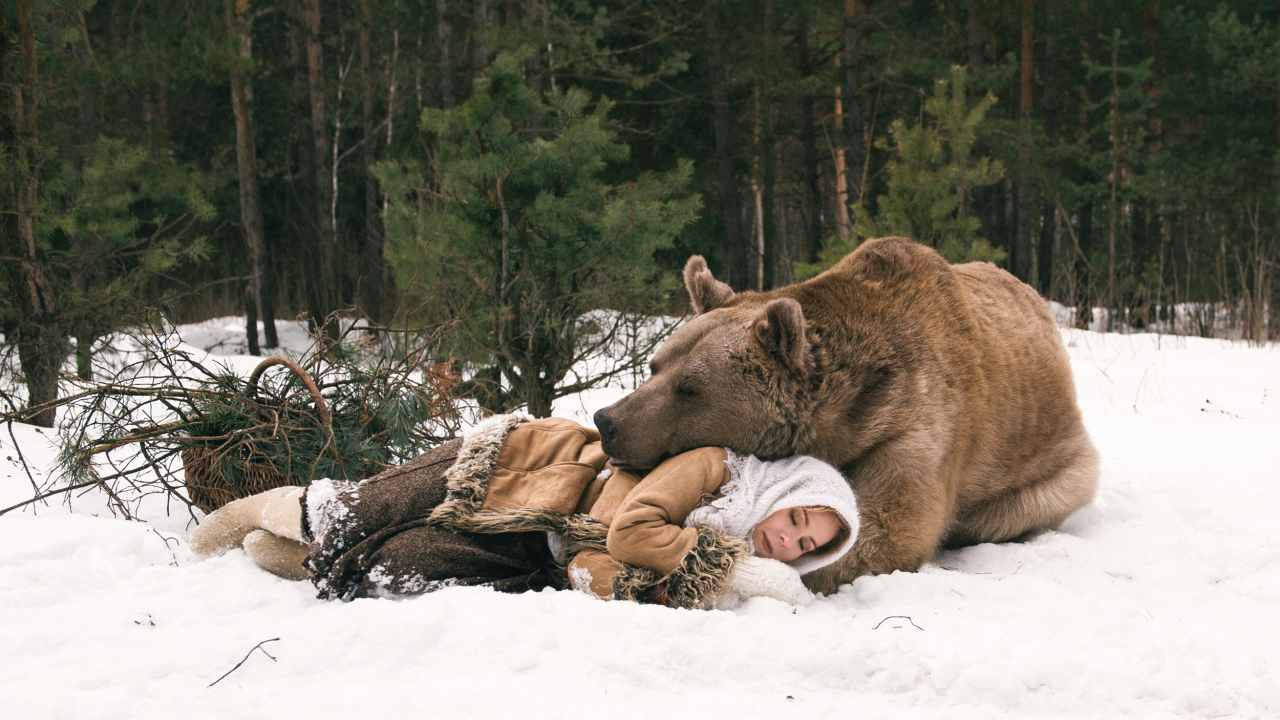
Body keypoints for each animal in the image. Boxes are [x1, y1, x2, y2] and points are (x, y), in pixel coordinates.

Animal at [591, 238, 1100, 591]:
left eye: (690, 389)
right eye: (655, 366)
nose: (608, 421)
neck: (843, 420)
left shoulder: (915, 426)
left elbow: (885, 530)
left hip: (1049, 468)